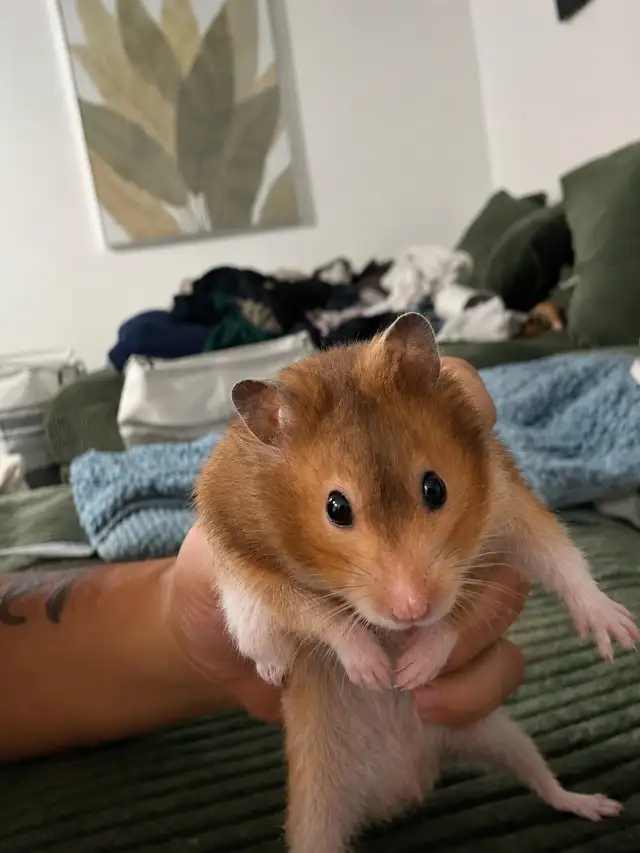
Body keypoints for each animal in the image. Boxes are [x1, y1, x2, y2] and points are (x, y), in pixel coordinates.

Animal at [196, 313, 639, 853]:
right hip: (314, 811)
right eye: (336, 508)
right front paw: (373, 671)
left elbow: (551, 561)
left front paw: (620, 635)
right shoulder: (253, 563)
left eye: (435, 487)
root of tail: (396, 795)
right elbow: (318, 614)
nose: (412, 610)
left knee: (541, 778)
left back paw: (594, 805)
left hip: (491, 731)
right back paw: (274, 667)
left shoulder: (507, 504)